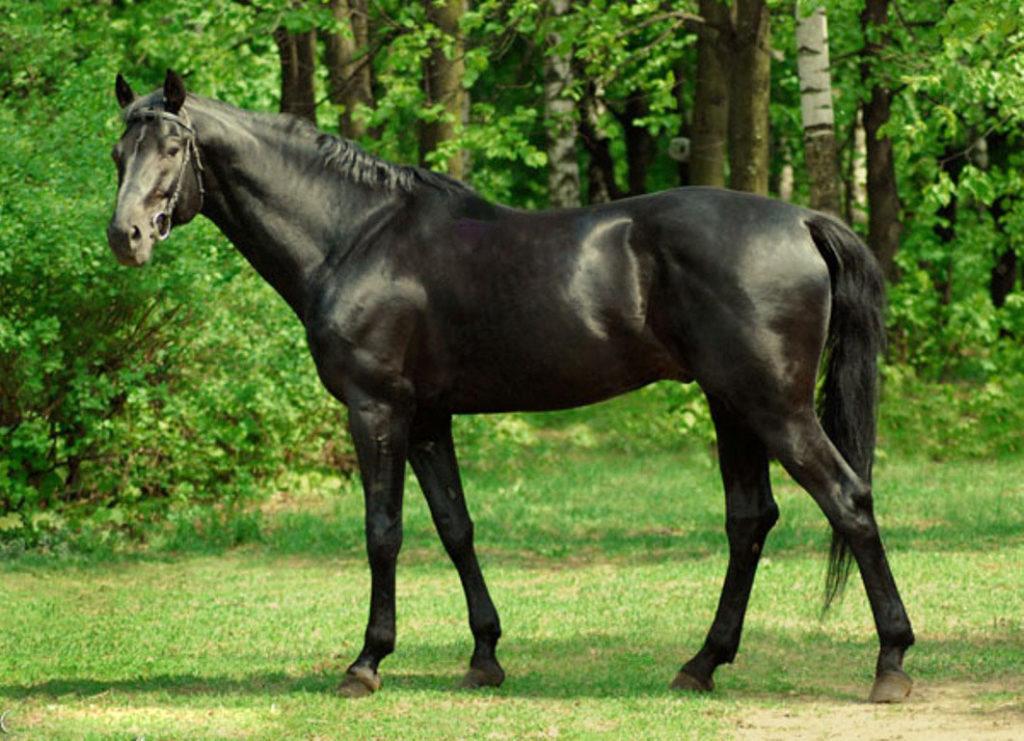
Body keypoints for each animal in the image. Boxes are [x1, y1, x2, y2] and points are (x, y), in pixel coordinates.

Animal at [108, 69, 917, 700]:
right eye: (119, 151)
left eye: (173, 147)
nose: (126, 236)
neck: (356, 235)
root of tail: (803, 219)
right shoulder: (428, 419)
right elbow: (455, 528)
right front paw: (484, 655)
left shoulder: (377, 411)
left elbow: (383, 532)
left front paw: (367, 661)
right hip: (733, 406)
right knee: (750, 521)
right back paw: (701, 663)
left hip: (775, 407)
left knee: (848, 501)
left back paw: (891, 661)